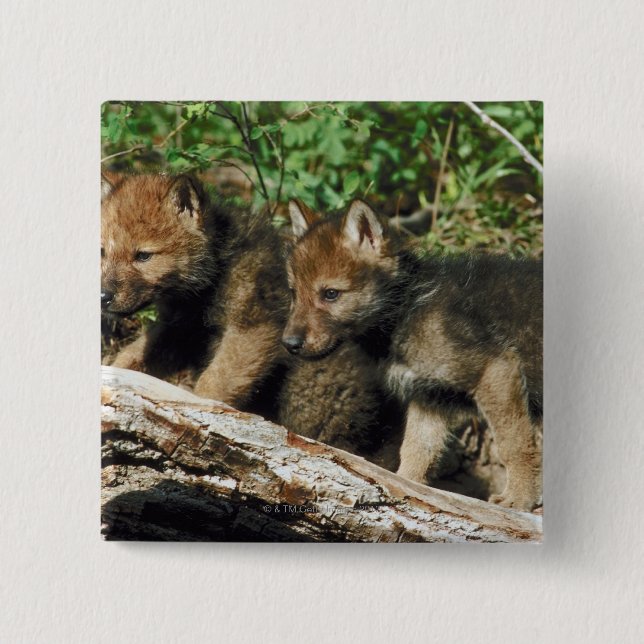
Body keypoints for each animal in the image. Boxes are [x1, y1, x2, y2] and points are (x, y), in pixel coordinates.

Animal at [283, 199, 543, 511]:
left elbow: (514, 444)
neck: (406, 310)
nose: (289, 343)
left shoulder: (497, 369)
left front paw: (520, 499)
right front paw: (403, 489)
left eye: (331, 294)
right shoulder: (430, 398)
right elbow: (416, 452)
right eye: (294, 293)